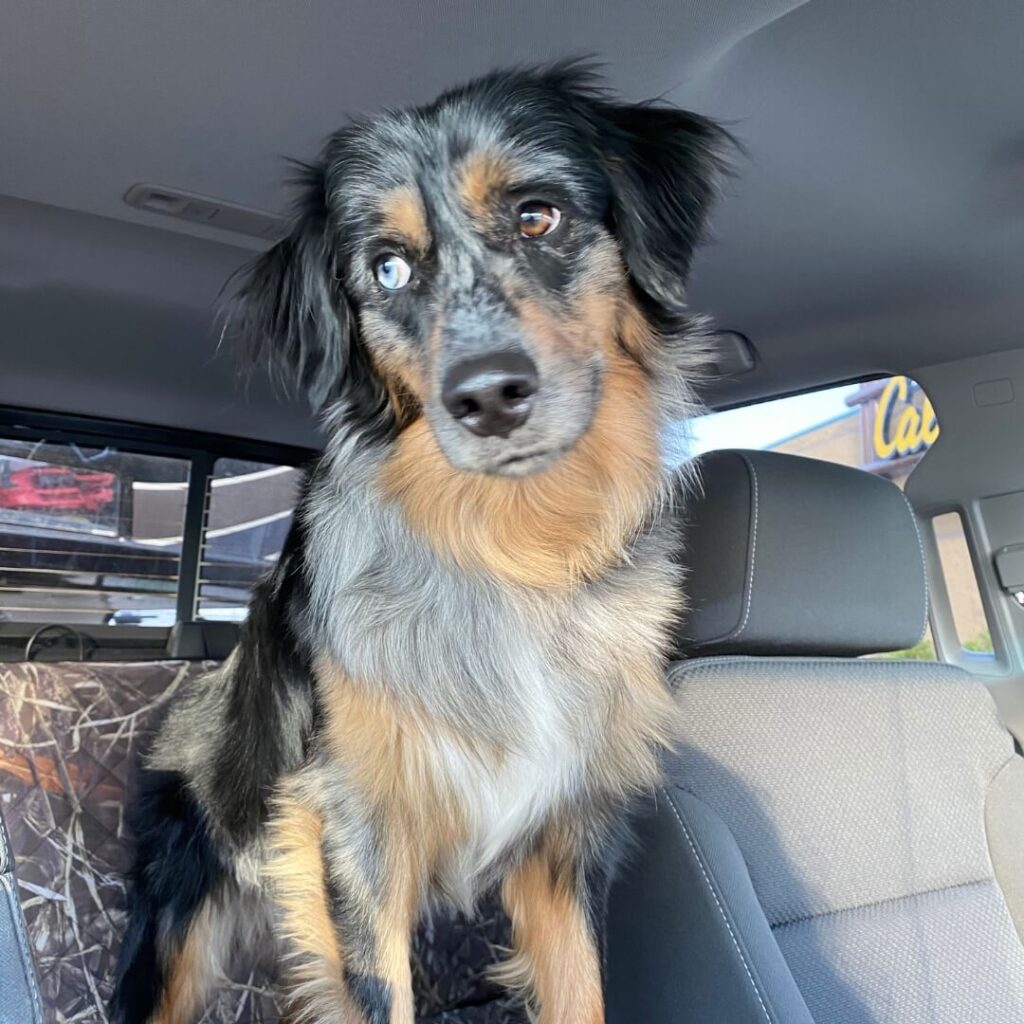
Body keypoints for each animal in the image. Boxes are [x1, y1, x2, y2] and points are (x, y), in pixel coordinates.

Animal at [110, 61, 729, 1024]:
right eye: (388, 268)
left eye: (538, 215)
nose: (487, 396)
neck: (506, 547)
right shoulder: (351, 829)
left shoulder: (562, 837)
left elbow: (580, 987)